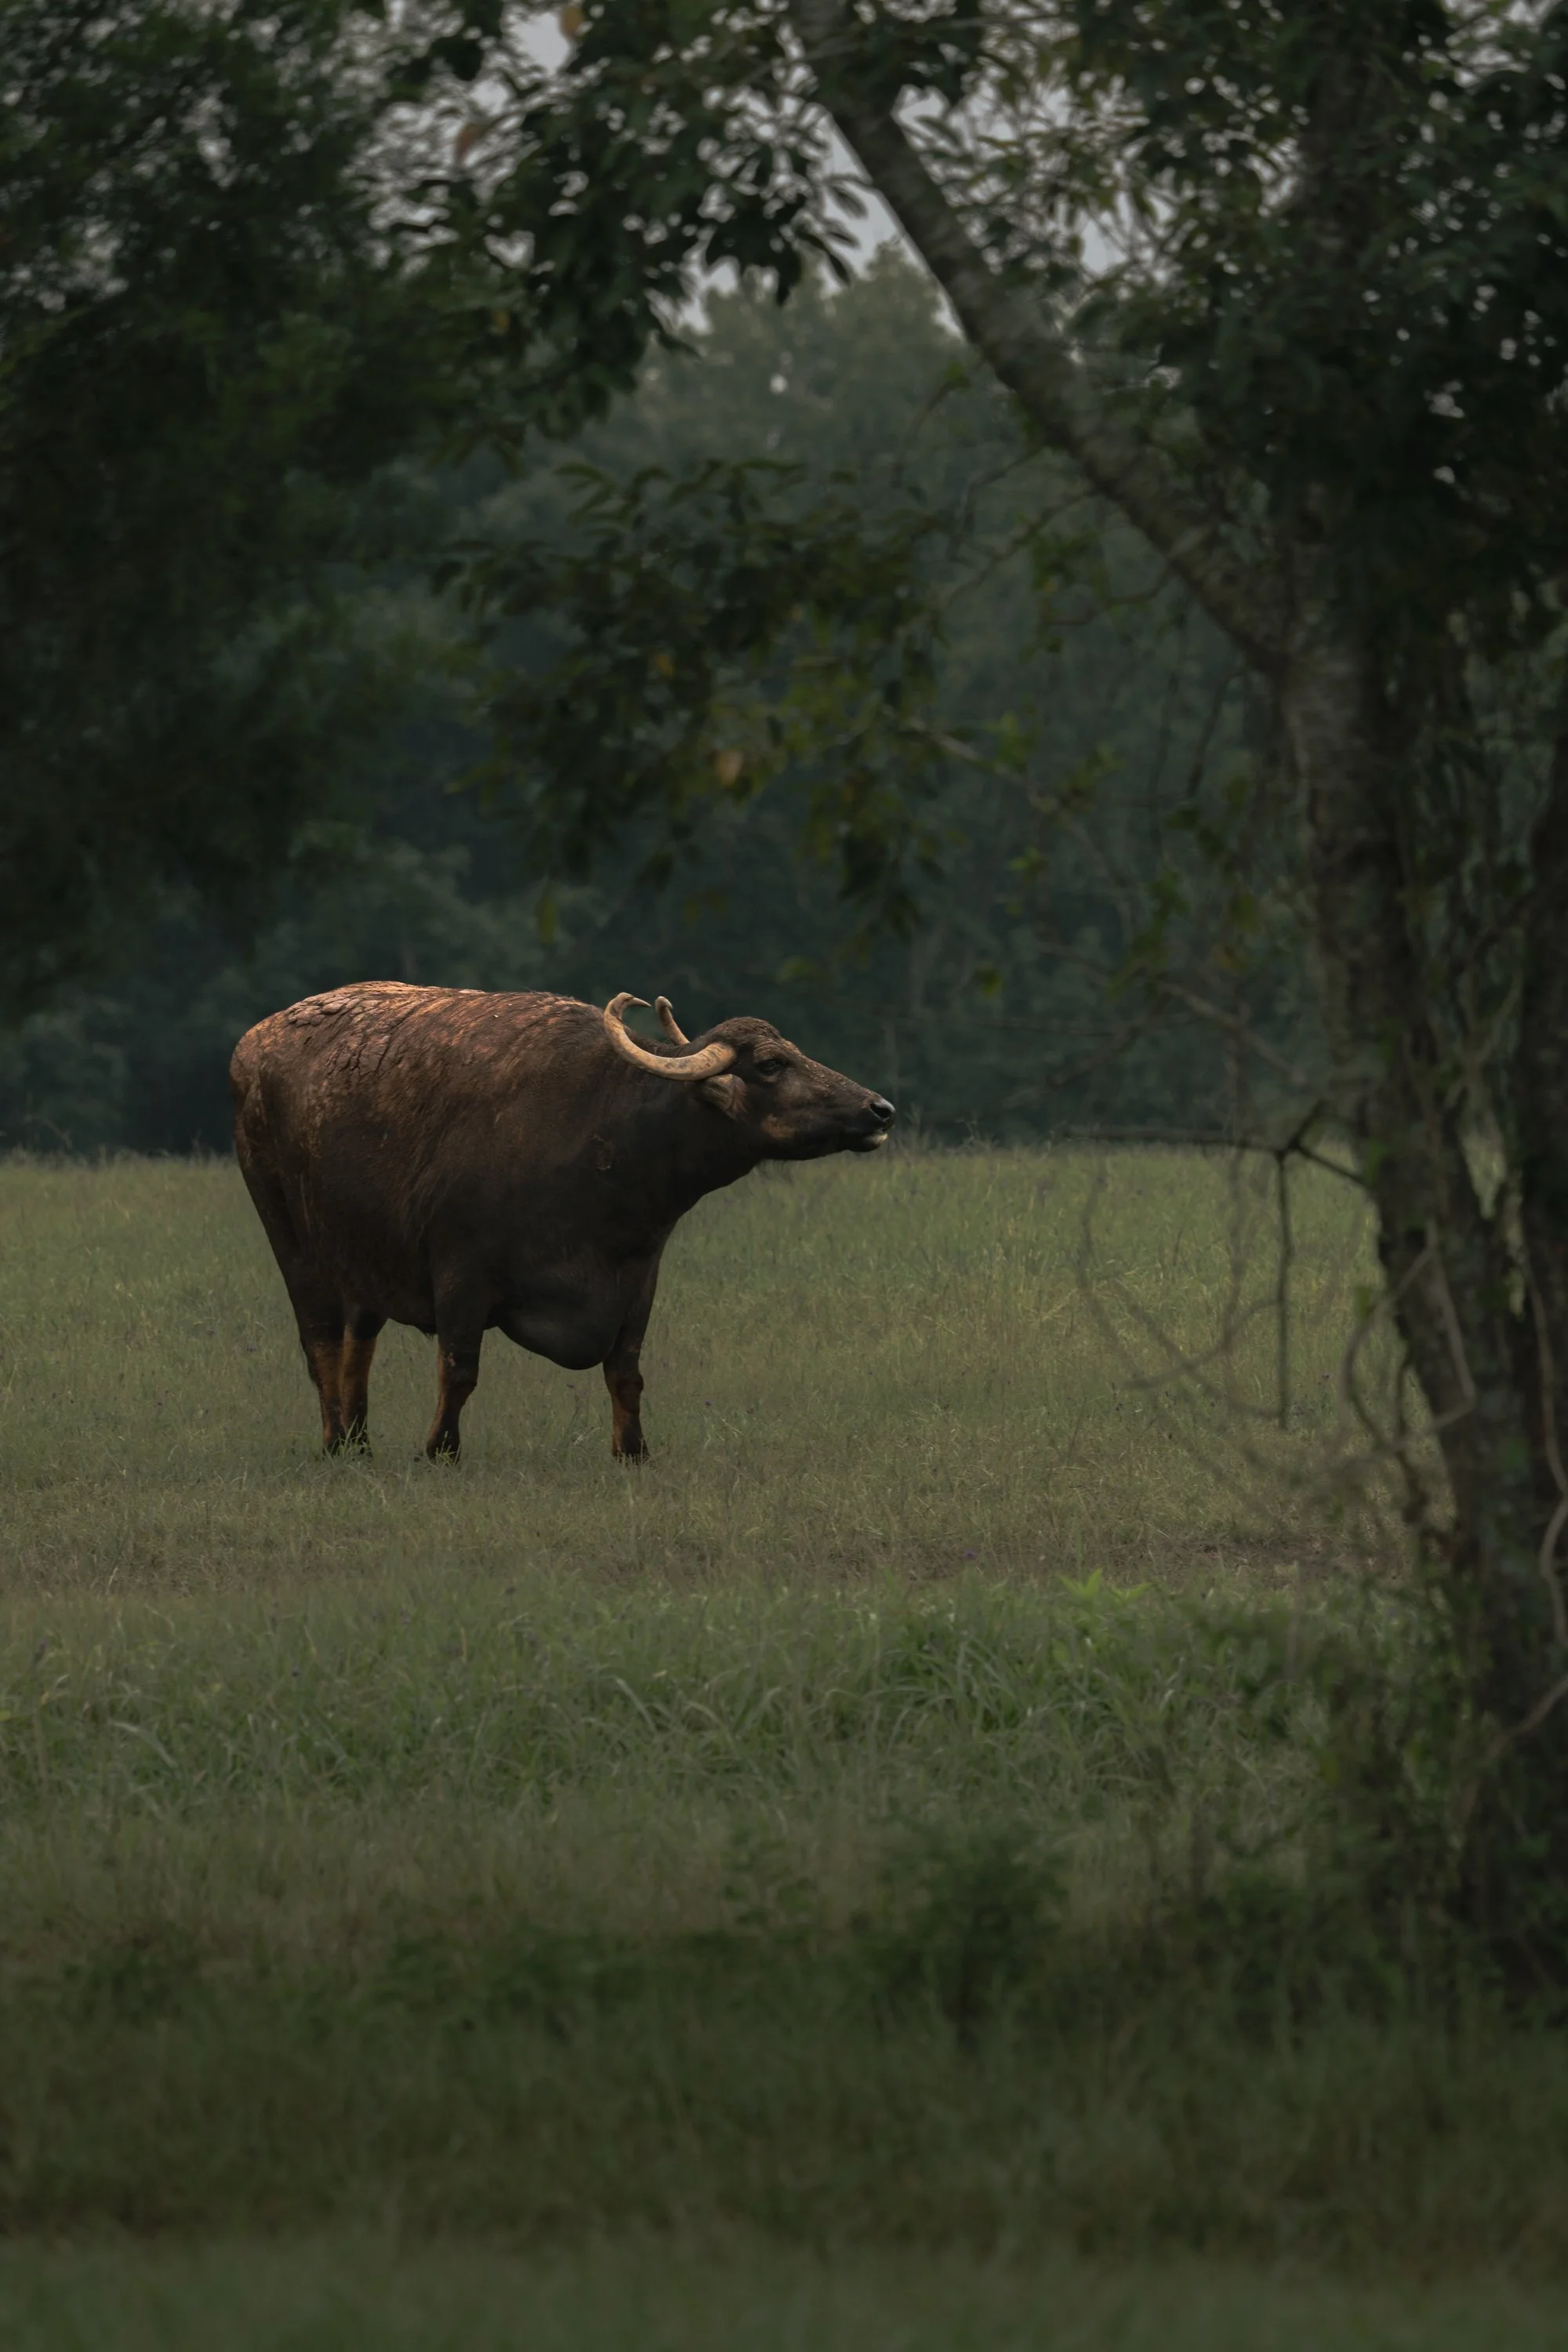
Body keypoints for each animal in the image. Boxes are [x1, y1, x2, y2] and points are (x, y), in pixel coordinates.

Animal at [230, 983, 895, 1461]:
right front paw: (440, 1451)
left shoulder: (639, 1280)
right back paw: (334, 1441)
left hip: (362, 1258)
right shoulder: (460, 1273)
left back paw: (360, 1441)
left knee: (358, 1343)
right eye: (772, 1064)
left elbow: (626, 1373)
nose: (880, 1108)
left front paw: (632, 1451)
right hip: (291, 1240)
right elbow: (459, 1370)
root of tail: (251, 1049)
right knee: (320, 1340)